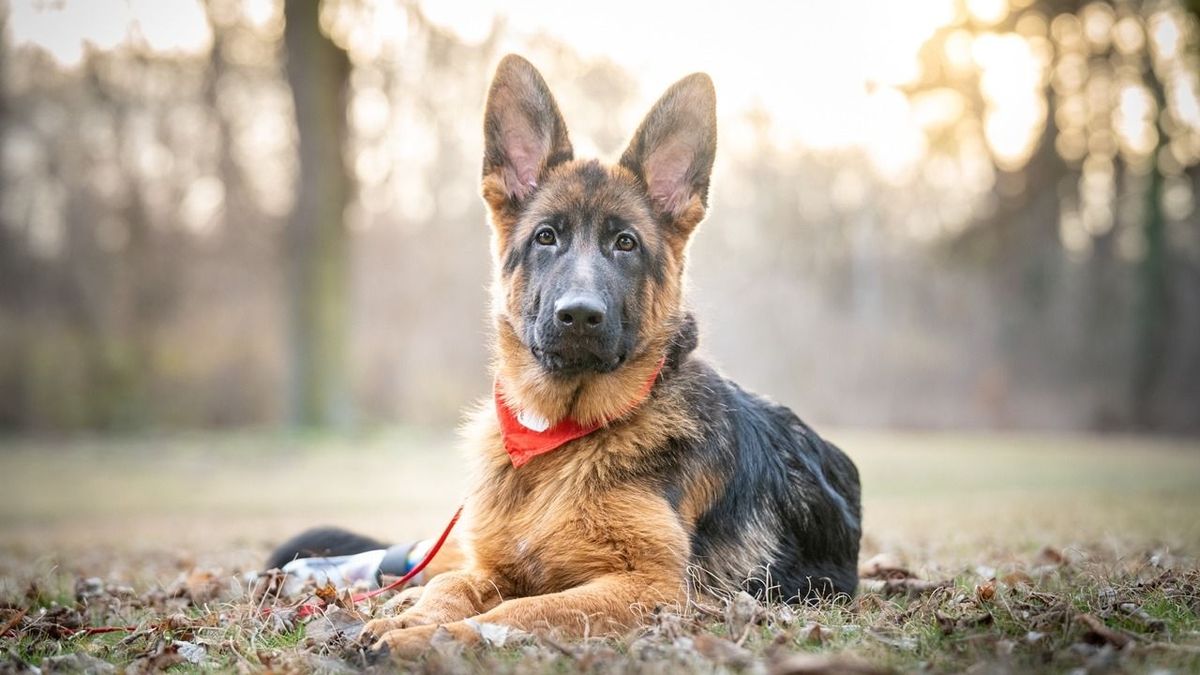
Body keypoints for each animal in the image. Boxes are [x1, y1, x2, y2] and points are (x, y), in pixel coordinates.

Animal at [271, 53, 859, 658]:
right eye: (546, 237)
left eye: (625, 243)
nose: (579, 315)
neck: (559, 437)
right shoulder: (497, 563)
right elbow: (456, 585)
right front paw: (416, 617)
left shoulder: (650, 586)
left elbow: (523, 609)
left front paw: (435, 636)